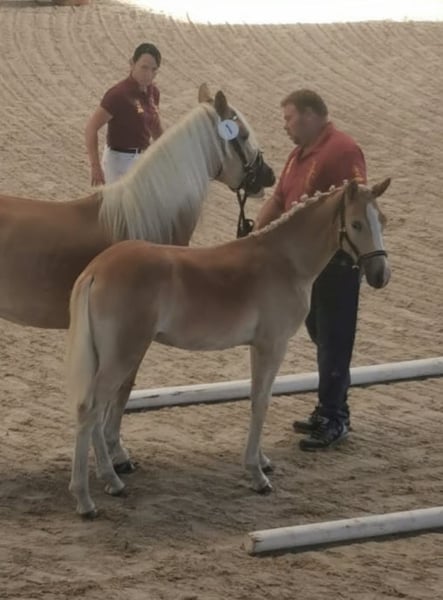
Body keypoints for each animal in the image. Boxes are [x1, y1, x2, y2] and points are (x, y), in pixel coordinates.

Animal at [66, 177, 391, 517]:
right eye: (355, 224)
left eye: (382, 221)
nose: (381, 275)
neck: (286, 262)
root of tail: (96, 270)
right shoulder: (271, 345)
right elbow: (261, 403)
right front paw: (257, 475)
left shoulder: (259, 346)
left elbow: (257, 398)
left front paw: (262, 461)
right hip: (122, 355)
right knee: (89, 409)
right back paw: (85, 500)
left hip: (108, 356)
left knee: (97, 410)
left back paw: (112, 481)